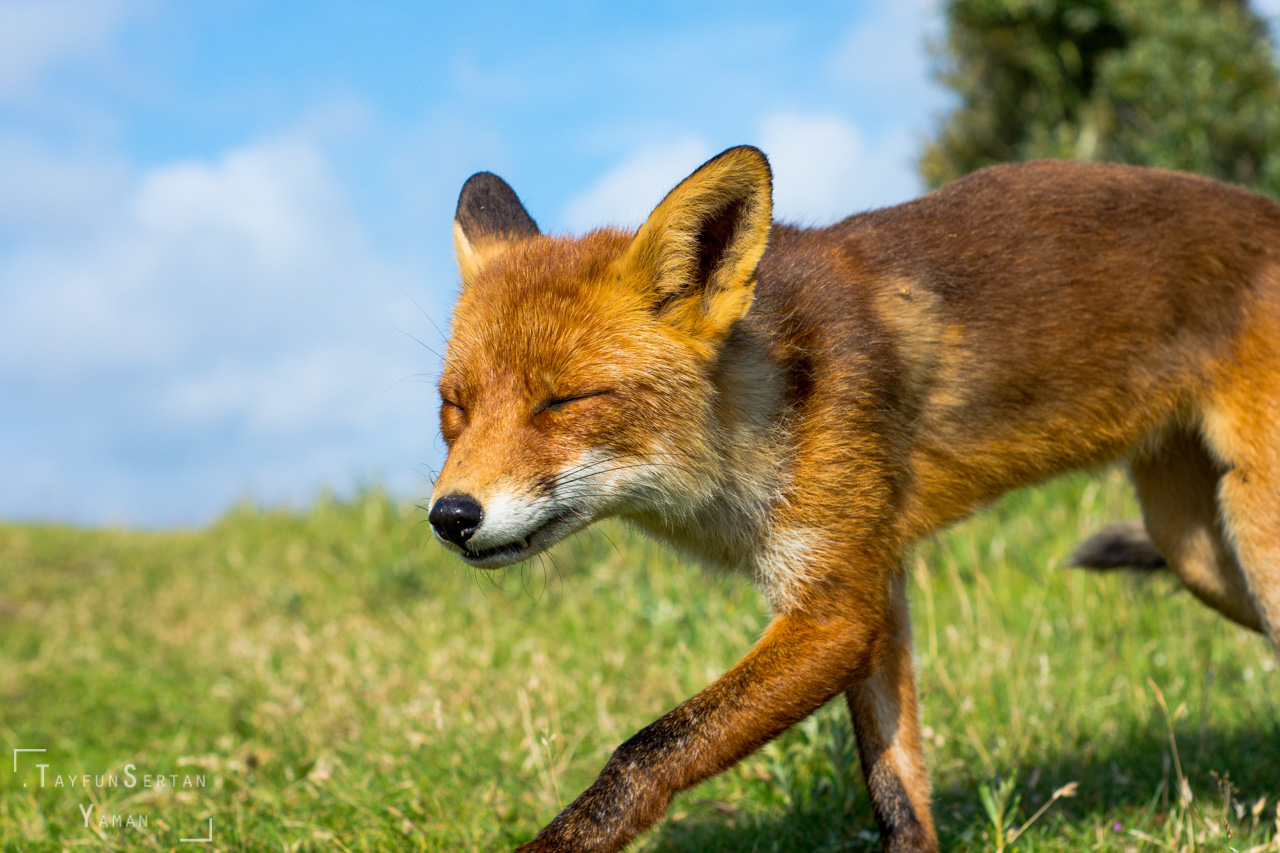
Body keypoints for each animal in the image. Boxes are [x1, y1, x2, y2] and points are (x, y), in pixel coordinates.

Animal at [427, 145, 1280, 853]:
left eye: (564, 402)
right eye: (454, 406)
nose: (449, 516)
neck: (764, 405)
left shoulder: (835, 609)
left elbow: (645, 752)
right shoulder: (875, 587)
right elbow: (897, 787)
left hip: (1256, 539)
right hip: (1196, 549)